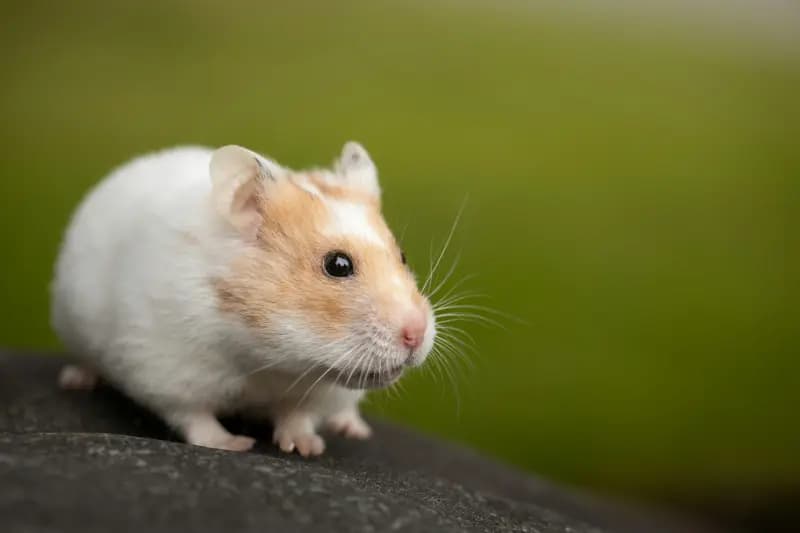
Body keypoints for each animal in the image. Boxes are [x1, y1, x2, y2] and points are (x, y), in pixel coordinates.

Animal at [51, 142, 436, 456]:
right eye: (338, 265)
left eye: (402, 257)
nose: (416, 335)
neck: (270, 359)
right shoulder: (166, 369)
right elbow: (195, 417)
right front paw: (235, 444)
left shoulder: (318, 391)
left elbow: (298, 416)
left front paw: (307, 448)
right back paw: (76, 380)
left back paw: (352, 427)